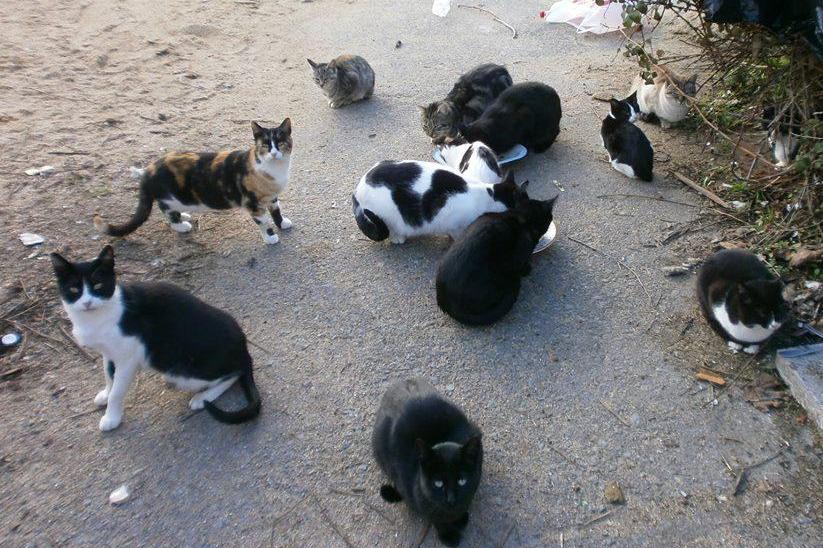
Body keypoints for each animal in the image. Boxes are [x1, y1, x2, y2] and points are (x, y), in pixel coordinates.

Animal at [50, 246, 260, 430]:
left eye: (98, 285)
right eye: (74, 290)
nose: (87, 303)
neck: (96, 317)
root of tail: (244, 347)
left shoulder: (128, 358)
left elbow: (117, 391)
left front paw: (111, 418)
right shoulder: (108, 353)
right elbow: (109, 375)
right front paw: (105, 394)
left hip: (181, 371)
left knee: (234, 373)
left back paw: (203, 398)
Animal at [95, 122, 294, 246]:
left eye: (281, 142)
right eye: (265, 145)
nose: (274, 153)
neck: (274, 170)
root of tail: (148, 170)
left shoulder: (272, 197)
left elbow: (276, 211)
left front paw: (282, 223)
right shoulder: (253, 204)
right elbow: (264, 222)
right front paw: (270, 237)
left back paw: (183, 216)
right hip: (172, 196)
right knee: (166, 210)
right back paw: (181, 225)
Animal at [352, 159, 520, 243]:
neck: (488, 195)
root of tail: (357, 190)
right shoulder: (454, 225)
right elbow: (457, 235)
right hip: (389, 218)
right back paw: (398, 238)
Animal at [374, 378, 482, 544]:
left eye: (462, 480)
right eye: (438, 483)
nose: (451, 499)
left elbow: (466, 501)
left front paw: (460, 518)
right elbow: (434, 516)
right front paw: (448, 534)